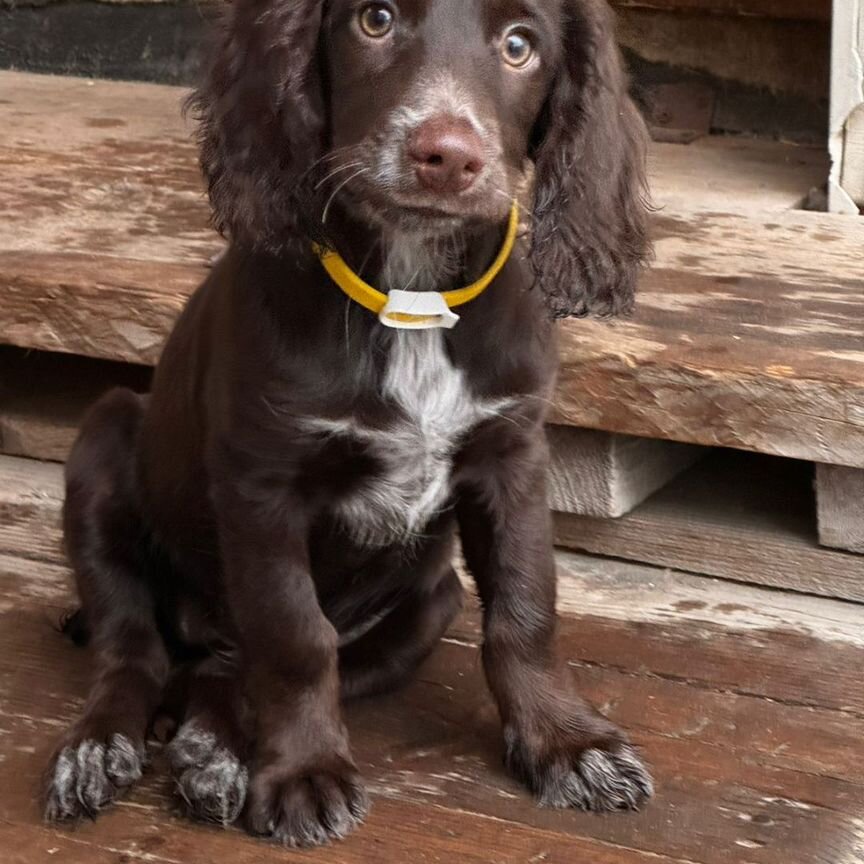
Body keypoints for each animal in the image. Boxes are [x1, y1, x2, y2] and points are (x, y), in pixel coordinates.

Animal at [45, 0, 656, 848]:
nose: (446, 157)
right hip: (104, 440)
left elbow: (525, 608)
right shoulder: (262, 484)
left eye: (519, 47)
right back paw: (100, 749)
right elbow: (294, 637)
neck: (410, 294)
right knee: (133, 648)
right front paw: (304, 772)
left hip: (428, 603)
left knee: (225, 669)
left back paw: (213, 750)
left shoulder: (512, 456)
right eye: (375, 20)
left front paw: (567, 744)